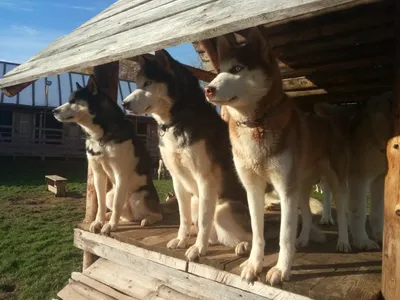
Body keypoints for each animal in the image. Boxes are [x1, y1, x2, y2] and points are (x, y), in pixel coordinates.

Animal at [53, 75, 162, 234]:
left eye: (73, 101)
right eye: (69, 99)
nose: (53, 111)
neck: (101, 135)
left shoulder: (120, 173)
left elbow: (117, 203)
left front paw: (110, 226)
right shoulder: (98, 174)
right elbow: (100, 202)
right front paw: (99, 221)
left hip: (138, 196)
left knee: (157, 214)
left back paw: (147, 220)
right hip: (111, 194)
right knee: (123, 214)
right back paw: (111, 216)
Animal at [123, 50, 252, 262]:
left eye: (148, 83)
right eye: (137, 84)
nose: (124, 103)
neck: (177, 119)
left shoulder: (205, 180)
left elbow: (205, 220)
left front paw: (198, 249)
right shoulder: (177, 180)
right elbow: (183, 218)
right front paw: (182, 240)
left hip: (224, 207)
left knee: (251, 234)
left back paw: (242, 245)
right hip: (195, 201)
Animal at [205, 28, 348, 286]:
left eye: (238, 68)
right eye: (219, 70)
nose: (207, 89)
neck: (255, 125)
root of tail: (326, 121)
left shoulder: (285, 188)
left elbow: (284, 235)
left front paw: (281, 269)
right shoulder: (253, 188)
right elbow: (257, 232)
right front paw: (254, 264)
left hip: (333, 180)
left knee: (341, 211)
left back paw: (343, 241)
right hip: (301, 186)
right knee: (307, 214)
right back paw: (303, 238)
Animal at [316, 93, 390, 248]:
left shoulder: (380, 178)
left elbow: (377, 212)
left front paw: (381, 236)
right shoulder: (358, 177)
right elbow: (359, 212)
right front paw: (362, 241)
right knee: (329, 193)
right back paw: (327, 218)